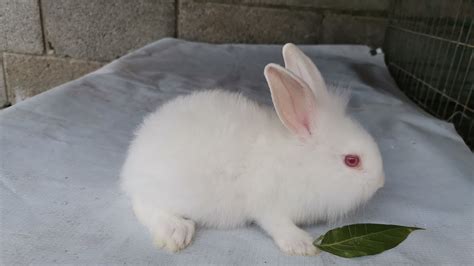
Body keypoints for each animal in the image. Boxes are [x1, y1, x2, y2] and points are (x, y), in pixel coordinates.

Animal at [120, 43, 384, 256]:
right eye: (352, 160)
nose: (381, 183)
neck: (301, 162)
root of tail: (133, 159)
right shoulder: (269, 205)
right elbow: (277, 224)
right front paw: (303, 245)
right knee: (143, 204)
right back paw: (176, 231)